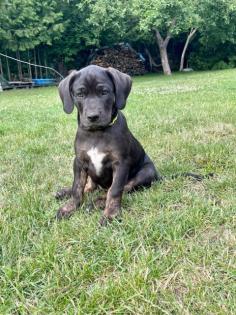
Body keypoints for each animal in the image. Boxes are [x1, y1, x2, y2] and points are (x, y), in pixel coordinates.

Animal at [56, 65, 161, 226]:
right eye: (80, 94)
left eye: (104, 92)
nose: (93, 117)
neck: (96, 133)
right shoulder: (79, 162)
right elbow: (77, 187)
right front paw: (70, 207)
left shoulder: (121, 163)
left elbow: (115, 190)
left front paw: (110, 214)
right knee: (91, 186)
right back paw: (65, 192)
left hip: (147, 171)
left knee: (121, 188)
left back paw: (97, 203)